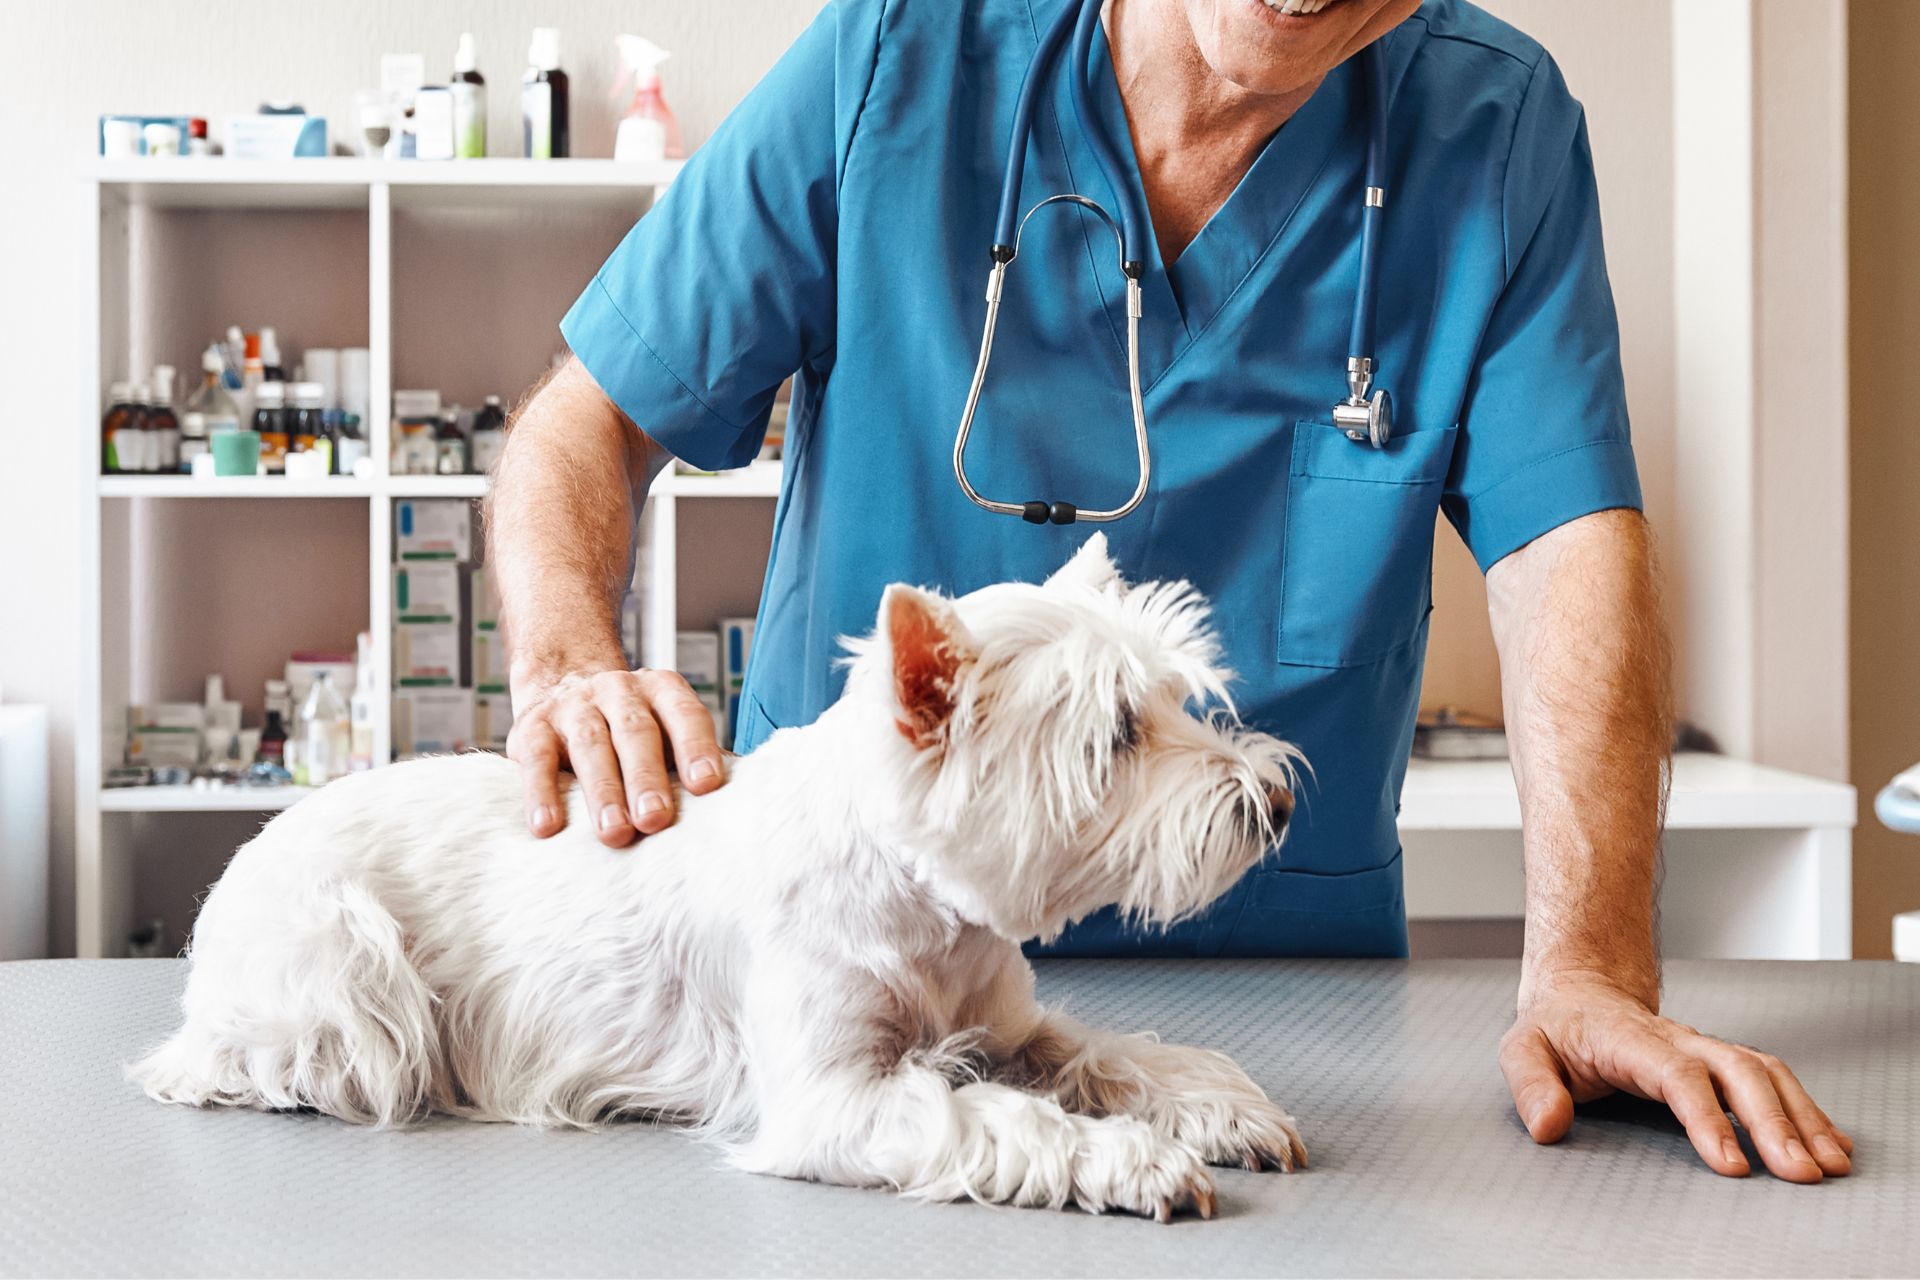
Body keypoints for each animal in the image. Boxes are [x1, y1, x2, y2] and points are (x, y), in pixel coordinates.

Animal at [131, 533, 1305, 1220]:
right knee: (279, 1058)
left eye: (1176, 699)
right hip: (342, 963)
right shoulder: (835, 1097)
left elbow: (1111, 1055)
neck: (926, 905)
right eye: (1115, 734)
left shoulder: (1009, 1025)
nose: (1277, 800)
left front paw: (1221, 1112)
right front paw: (1138, 1164)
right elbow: (1002, 1116)